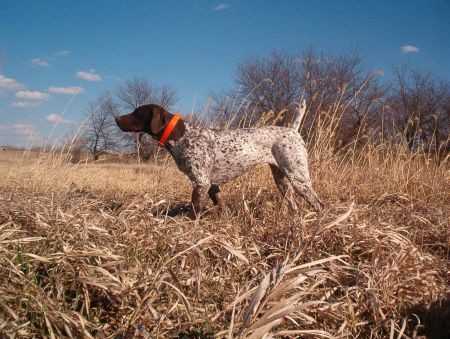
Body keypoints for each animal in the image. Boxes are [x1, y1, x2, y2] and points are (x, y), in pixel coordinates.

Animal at [114, 103, 322, 218]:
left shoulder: (201, 183)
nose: (116, 118)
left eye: (136, 113)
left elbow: (195, 210)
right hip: (282, 181)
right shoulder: (212, 185)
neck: (182, 136)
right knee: (294, 205)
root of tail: (293, 130)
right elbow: (222, 206)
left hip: (299, 179)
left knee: (318, 203)